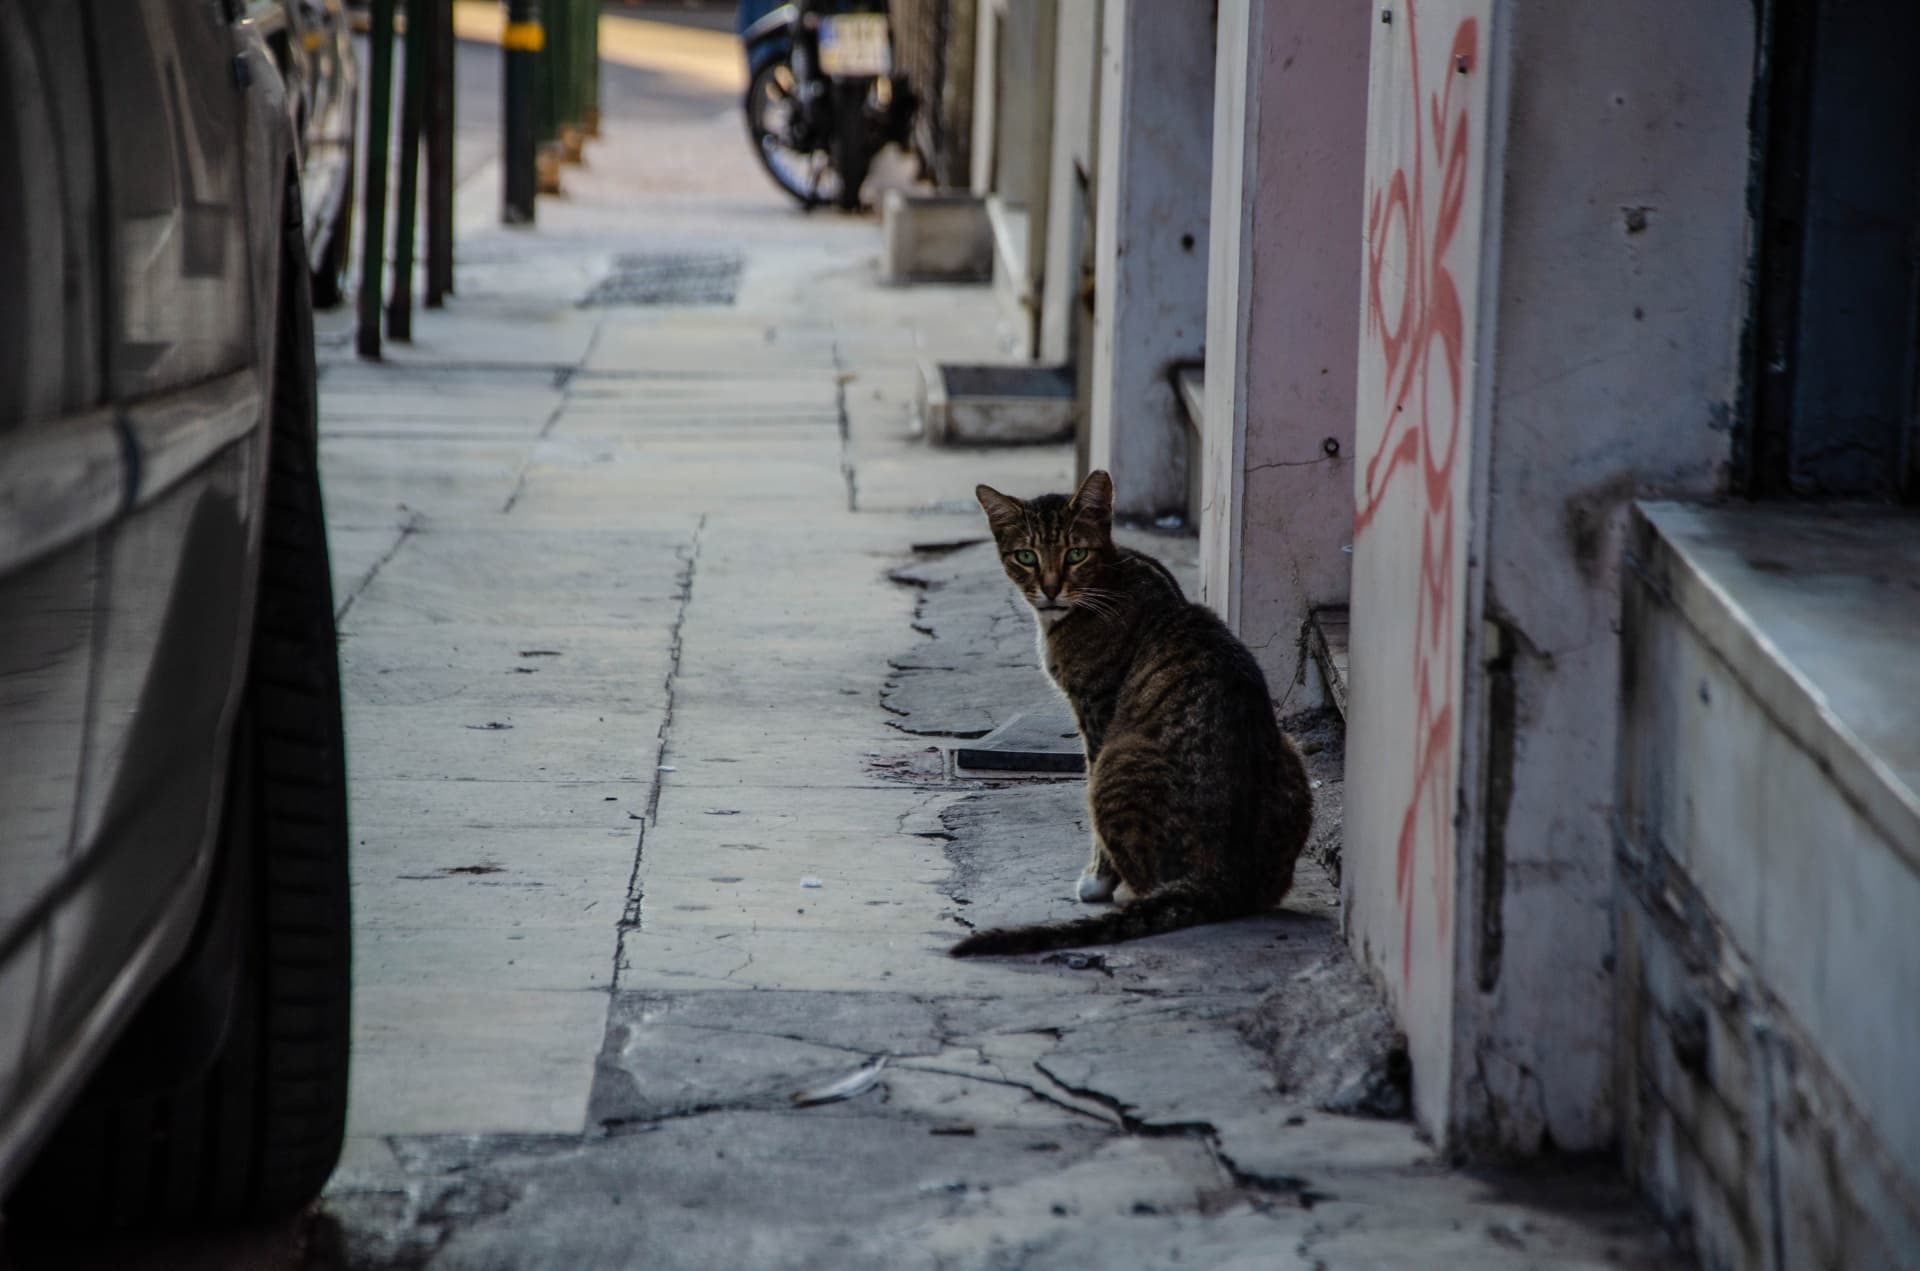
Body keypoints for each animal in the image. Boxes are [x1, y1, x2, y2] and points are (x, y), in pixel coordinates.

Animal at [948, 472, 1313, 959]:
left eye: (1075, 553)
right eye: (1026, 556)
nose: (1050, 588)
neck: (1110, 574)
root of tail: (1221, 879)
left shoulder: (1097, 715)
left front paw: (1096, 881)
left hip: (1117, 760)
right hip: (1289, 751)